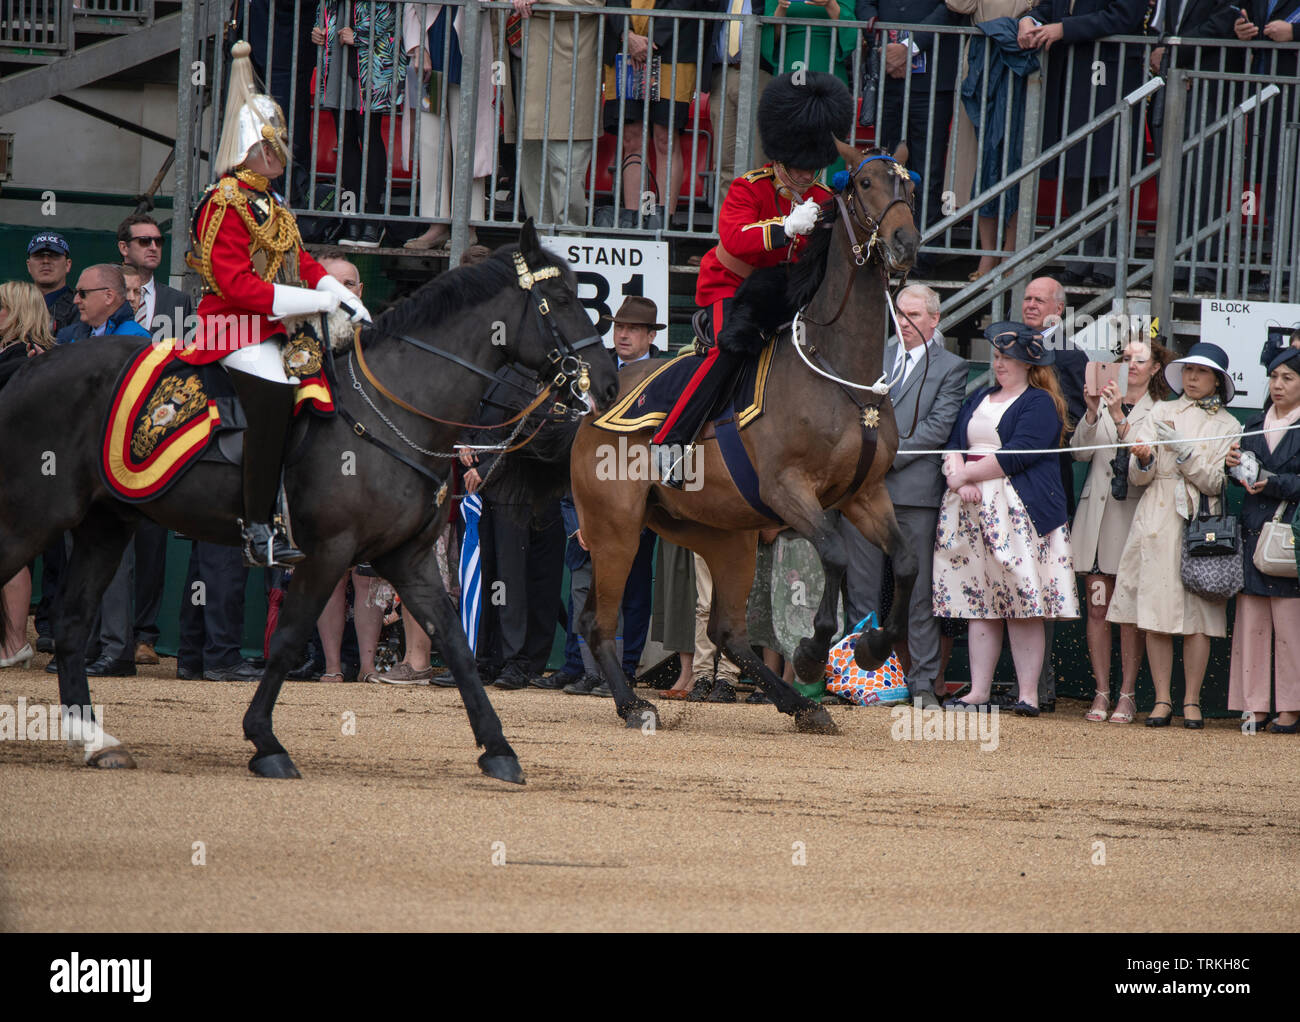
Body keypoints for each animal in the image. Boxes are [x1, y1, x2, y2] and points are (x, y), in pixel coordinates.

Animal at [0, 221, 616, 780]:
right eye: (563, 300)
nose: (608, 384)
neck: (391, 411)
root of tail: (33, 362)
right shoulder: (329, 552)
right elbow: (289, 638)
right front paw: (265, 742)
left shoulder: (408, 559)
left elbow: (456, 644)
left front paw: (499, 750)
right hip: (32, 518)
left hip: (104, 525)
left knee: (73, 625)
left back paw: (96, 742)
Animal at [572, 141, 925, 733]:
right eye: (864, 183)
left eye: (911, 186)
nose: (905, 242)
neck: (840, 376)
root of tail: (597, 400)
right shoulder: (789, 491)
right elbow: (834, 555)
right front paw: (813, 652)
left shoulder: (864, 496)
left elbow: (904, 561)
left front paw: (873, 648)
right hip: (615, 532)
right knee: (598, 624)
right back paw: (634, 705)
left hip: (723, 538)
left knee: (727, 632)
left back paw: (800, 705)